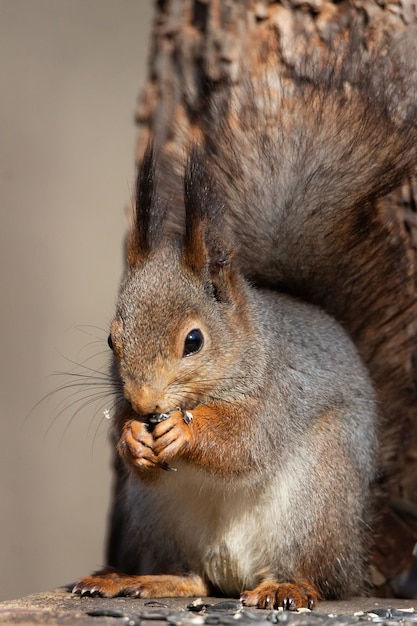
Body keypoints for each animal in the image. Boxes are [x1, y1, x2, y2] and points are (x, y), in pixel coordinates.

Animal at [71, 37, 416, 604]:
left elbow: (244, 443)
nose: (145, 403)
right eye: (110, 340)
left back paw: (288, 587)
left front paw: (184, 432)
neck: (245, 346)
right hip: (159, 519)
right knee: (195, 578)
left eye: (193, 340)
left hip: (318, 496)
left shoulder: (278, 390)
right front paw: (132, 436)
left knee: (317, 574)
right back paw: (144, 578)